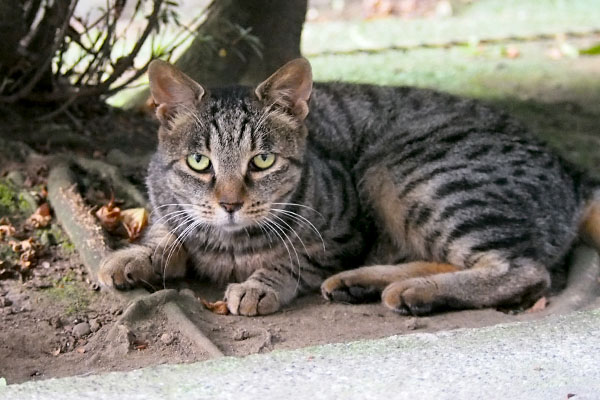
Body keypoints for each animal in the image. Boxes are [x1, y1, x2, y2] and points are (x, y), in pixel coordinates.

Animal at [98, 57, 600, 318]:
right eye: (199, 162)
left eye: (262, 161)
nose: (229, 204)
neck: (231, 242)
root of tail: (571, 169)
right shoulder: (164, 199)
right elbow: (165, 231)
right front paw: (134, 255)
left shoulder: (342, 233)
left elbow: (293, 259)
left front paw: (260, 283)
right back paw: (365, 283)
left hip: (404, 171)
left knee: (523, 269)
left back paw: (412, 291)